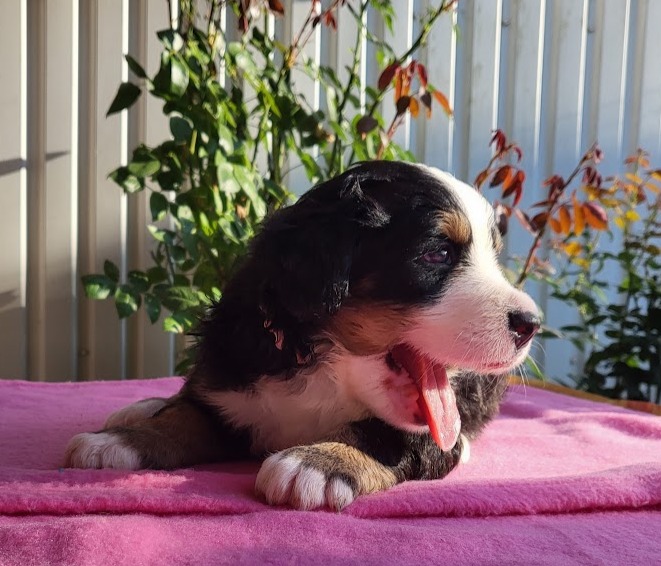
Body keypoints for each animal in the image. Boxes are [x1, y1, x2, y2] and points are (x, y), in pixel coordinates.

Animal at [64, 161, 539, 510]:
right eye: (438, 253)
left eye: (493, 259)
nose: (531, 323)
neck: (324, 371)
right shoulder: (230, 378)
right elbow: (185, 418)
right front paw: (118, 442)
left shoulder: (438, 434)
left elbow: (387, 434)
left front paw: (317, 464)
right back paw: (140, 409)